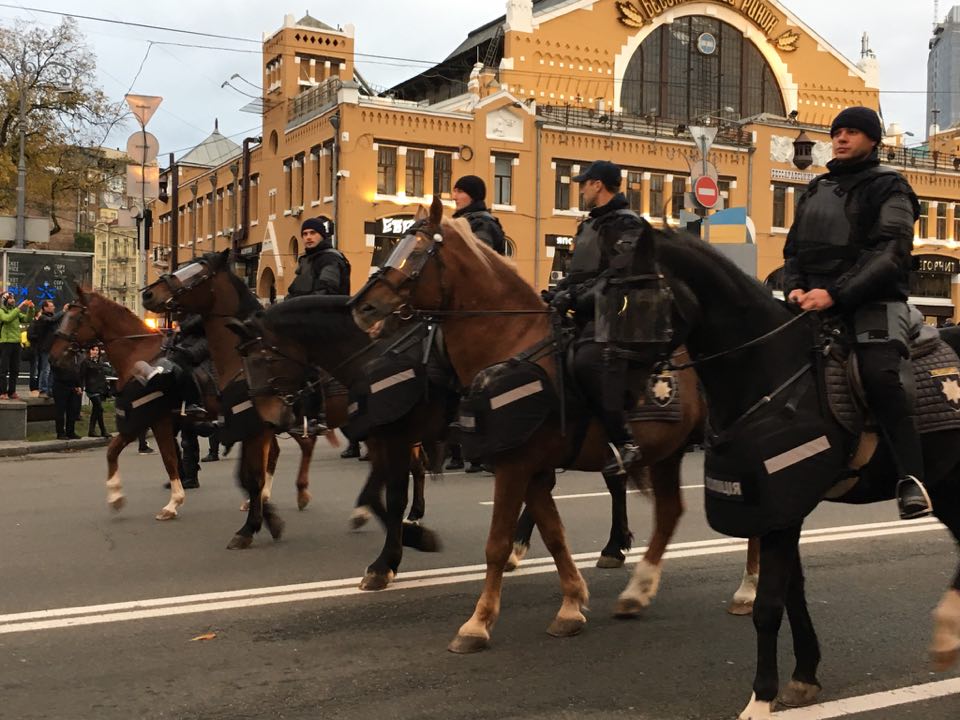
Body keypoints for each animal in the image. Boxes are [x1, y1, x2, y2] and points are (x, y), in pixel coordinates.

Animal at [141, 251, 435, 578]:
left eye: (197, 271)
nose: (149, 293)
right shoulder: (252, 428)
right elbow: (247, 476)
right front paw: (266, 518)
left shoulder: (257, 429)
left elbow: (252, 477)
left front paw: (254, 526)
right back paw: (375, 513)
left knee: (410, 466)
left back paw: (405, 515)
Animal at [349, 196, 756, 652]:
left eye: (416, 252)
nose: (363, 308)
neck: (514, 342)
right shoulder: (533, 469)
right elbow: (555, 535)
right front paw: (571, 606)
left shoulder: (511, 466)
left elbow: (495, 543)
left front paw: (477, 623)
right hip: (667, 453)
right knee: (669, 512)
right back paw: (637, 591)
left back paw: (747, 590)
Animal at [556, 226, 960, 719]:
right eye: (601, 303)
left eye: (641, 303)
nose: (609, 389)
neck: (769, 373)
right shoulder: (779, 509)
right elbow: (791, 593)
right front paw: (803, 677)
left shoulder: (783, 508)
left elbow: (769, 604)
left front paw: (761, 697)